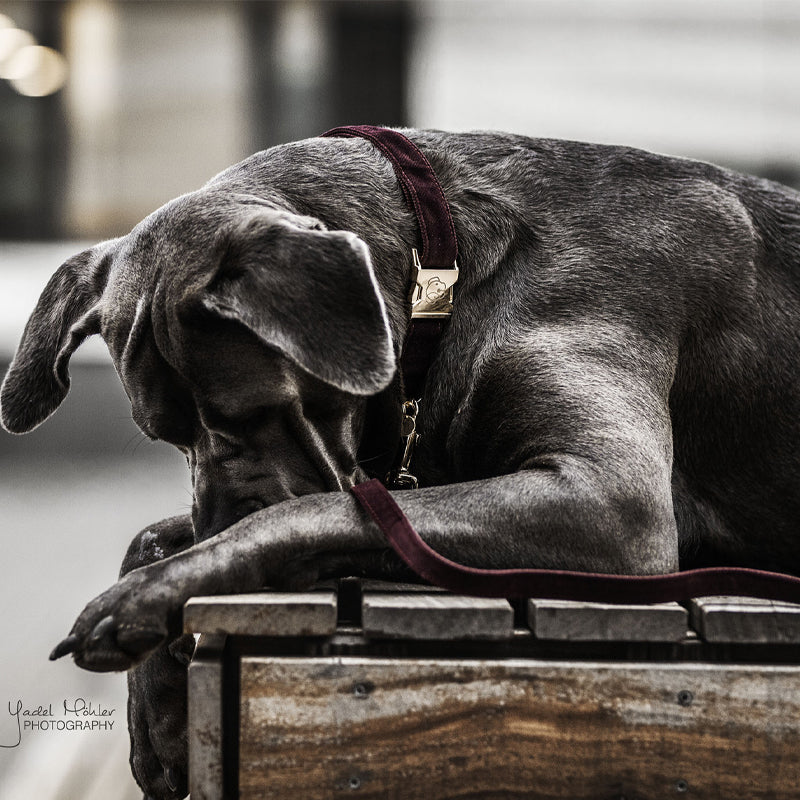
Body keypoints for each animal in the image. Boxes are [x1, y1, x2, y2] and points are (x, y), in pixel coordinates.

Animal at [1, 128, 800, 796]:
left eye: (255, 412)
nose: (218, 517)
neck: (444, 272)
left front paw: (145, 601)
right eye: (167, 436)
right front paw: (159, 719)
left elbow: (311, 511)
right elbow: (156, 534)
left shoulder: (610, 499)